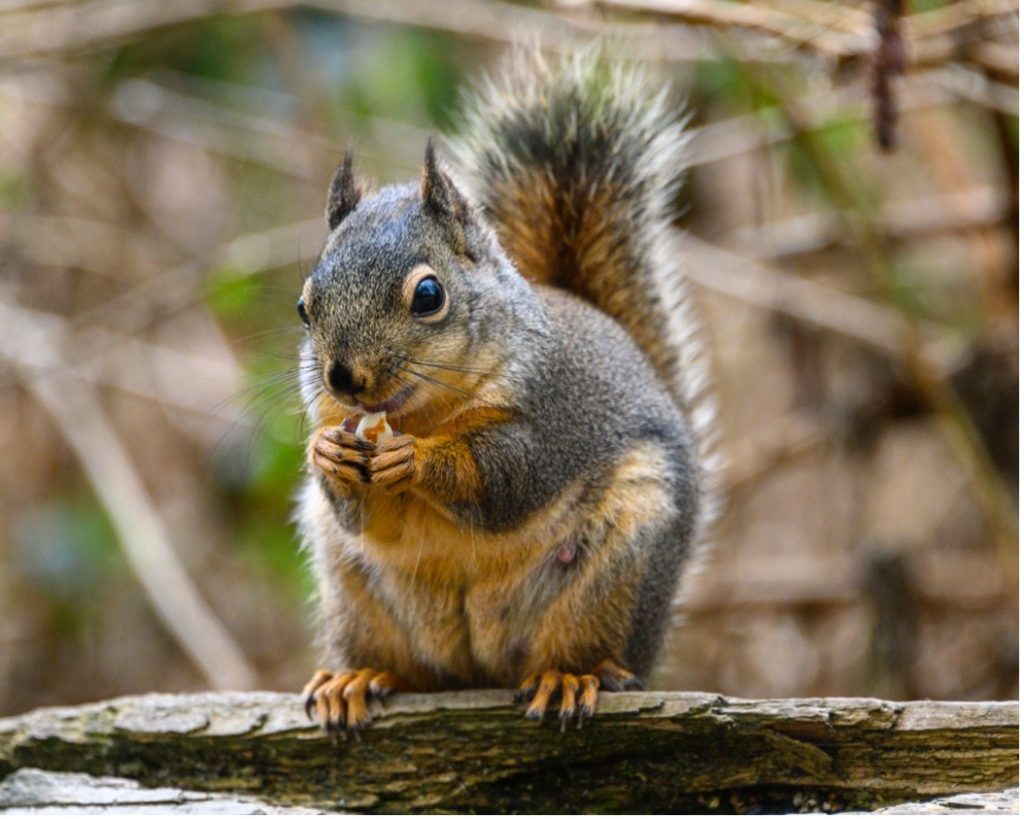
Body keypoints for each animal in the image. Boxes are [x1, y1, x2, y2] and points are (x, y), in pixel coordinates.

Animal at [296, 48, 718, 733]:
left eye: (429, 295)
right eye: (304, 306)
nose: (344, 378)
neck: (422, 412)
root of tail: (481, 669)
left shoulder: (547, 414)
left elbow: (503, 476)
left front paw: (417, 458)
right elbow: (360, 517)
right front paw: (328, 454)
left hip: (621, 572)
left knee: (590, 650)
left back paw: (570, 677)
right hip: (355, 593)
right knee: (403, 664)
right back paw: (358, 678)